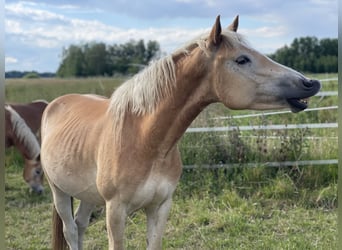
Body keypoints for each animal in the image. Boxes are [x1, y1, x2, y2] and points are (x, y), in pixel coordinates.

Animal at [40, 16, 320, 250]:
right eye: (242, 59)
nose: (311, 83)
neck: (145, 141)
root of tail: (54, 104)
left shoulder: (160, 207)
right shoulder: (115, 211)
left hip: (87, 194)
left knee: (80, 225)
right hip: (59, 191)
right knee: (70, 230)